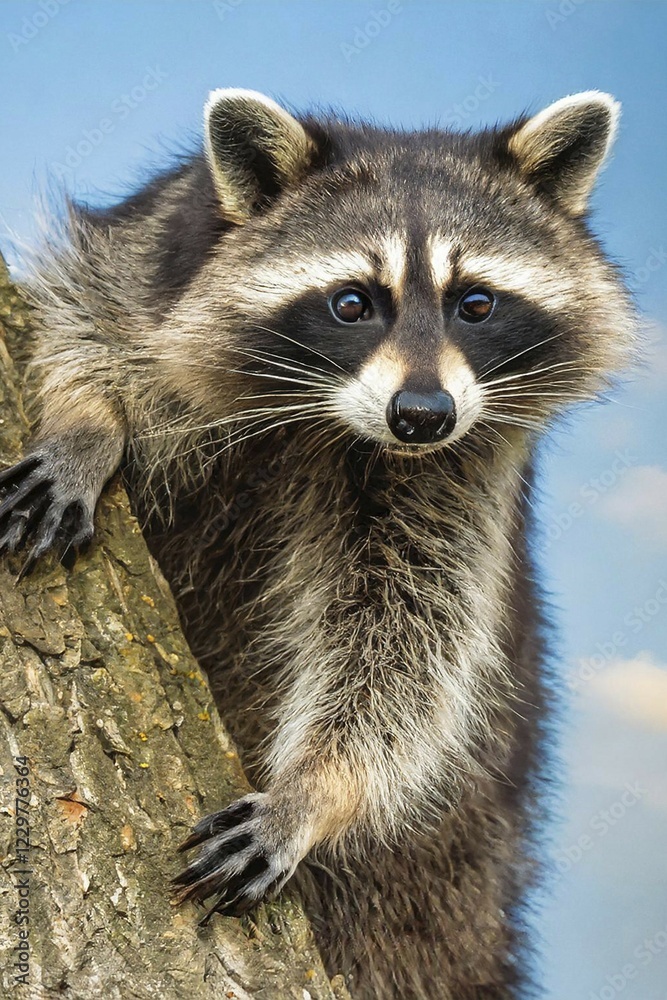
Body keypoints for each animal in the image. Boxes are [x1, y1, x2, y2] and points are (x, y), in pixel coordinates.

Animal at [0, 89, 635, 998]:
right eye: (351, 303)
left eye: (476, 303)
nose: (421, 416)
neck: (329, 419)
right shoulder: (153, 249)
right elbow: (85, 327)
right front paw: (86, 425)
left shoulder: (460, 471)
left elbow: (406, 639)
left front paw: (317, 792)